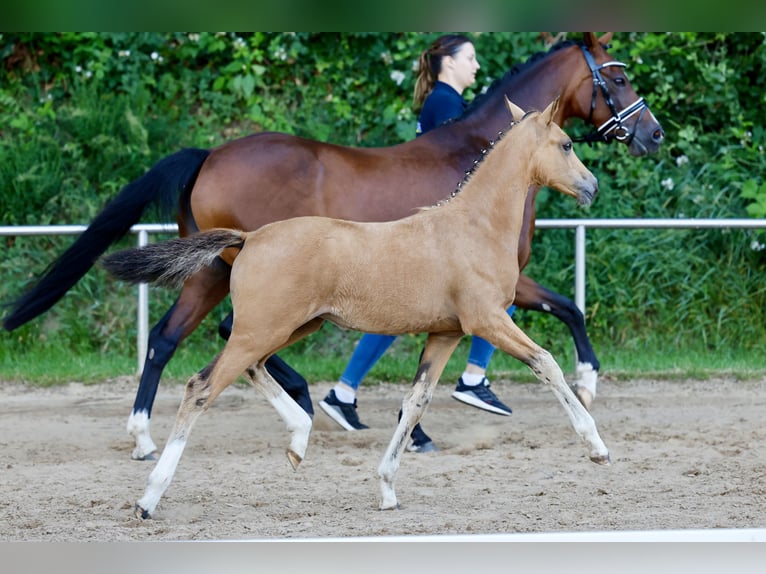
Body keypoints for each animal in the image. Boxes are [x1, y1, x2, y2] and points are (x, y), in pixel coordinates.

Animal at [2, 32, 664, 461]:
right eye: (618, 76)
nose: (654, 134)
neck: (475, 159)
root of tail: (210, 154)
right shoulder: (500, 281)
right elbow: (566, 310)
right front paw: (578, 383)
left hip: (213, 272)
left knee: (170, 336)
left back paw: (152, 434)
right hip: (238, 275)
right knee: (221, 336)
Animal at [102, 97, 609, 518]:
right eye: (566, 144)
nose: (592, 187)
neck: (474, 226)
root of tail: (250, 238)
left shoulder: (447, 332)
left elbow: (415, 401)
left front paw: (386, 488)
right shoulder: (488, 320)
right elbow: (546, 362)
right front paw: (597, 446)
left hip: (288, 328)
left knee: (252, 368)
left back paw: (299, 439)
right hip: (262, 328)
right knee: (201, 386)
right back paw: (148, 496)